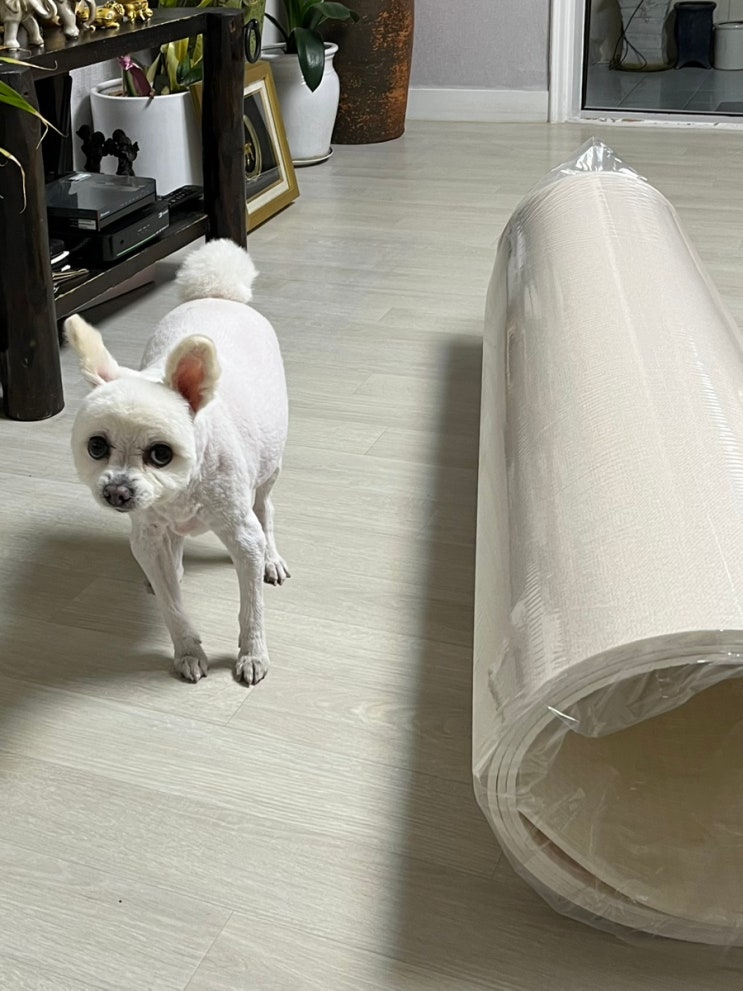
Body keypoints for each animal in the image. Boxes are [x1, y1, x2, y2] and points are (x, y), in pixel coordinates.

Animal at [65, 239, 289, 685]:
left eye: (161, 454)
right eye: (96, 447)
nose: (117, 492)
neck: (182, 492)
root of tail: (217, 295)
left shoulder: (243, 539)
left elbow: (251, 608)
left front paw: (252, 654)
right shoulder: (147, 538)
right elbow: (172, 608)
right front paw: (187, 650)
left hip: (269, 466)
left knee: (265, 507)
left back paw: (272, 557)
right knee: (177, 546)